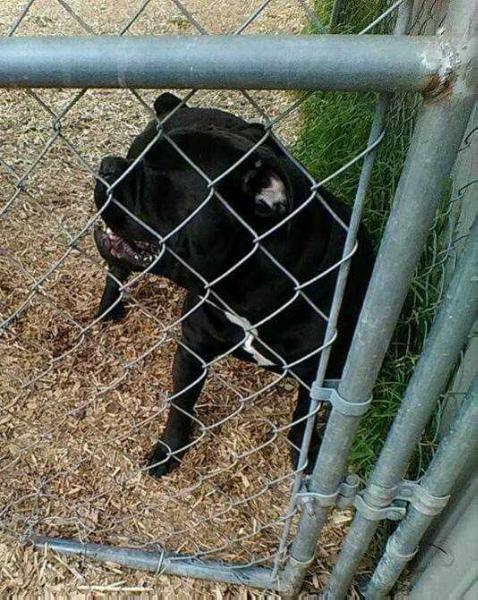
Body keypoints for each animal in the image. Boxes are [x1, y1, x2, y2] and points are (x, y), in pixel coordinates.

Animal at [91, 92, 372, 478]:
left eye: (159, 174)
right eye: (141, 159)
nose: (107, 164)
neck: (248, 294)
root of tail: (178, 105)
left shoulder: (317, 373)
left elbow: (303, 420)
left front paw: (306, 458)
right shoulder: (193, 347)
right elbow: (181, 405)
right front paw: (169, 450)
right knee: (116, 267)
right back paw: (109, 308)